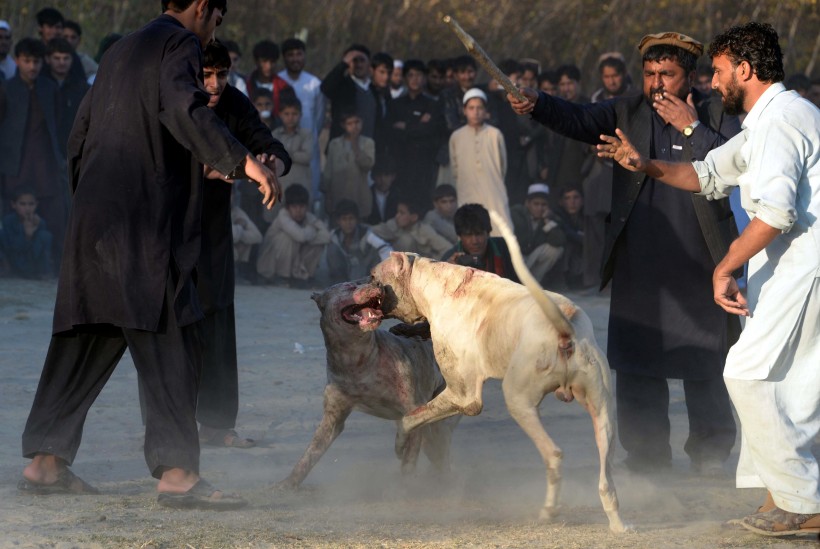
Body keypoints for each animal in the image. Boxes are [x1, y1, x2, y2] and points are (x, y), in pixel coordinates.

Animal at [372, 211, 628, 532]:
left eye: (374, 277)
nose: (364, 287)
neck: (434, 282)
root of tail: (565, 329)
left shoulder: (463, 397)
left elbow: (411, 417)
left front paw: (401, 445)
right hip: (602, 407)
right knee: (606, 469)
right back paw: (618, 522)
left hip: (518, 398)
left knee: (554, 454)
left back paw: (548, 510)